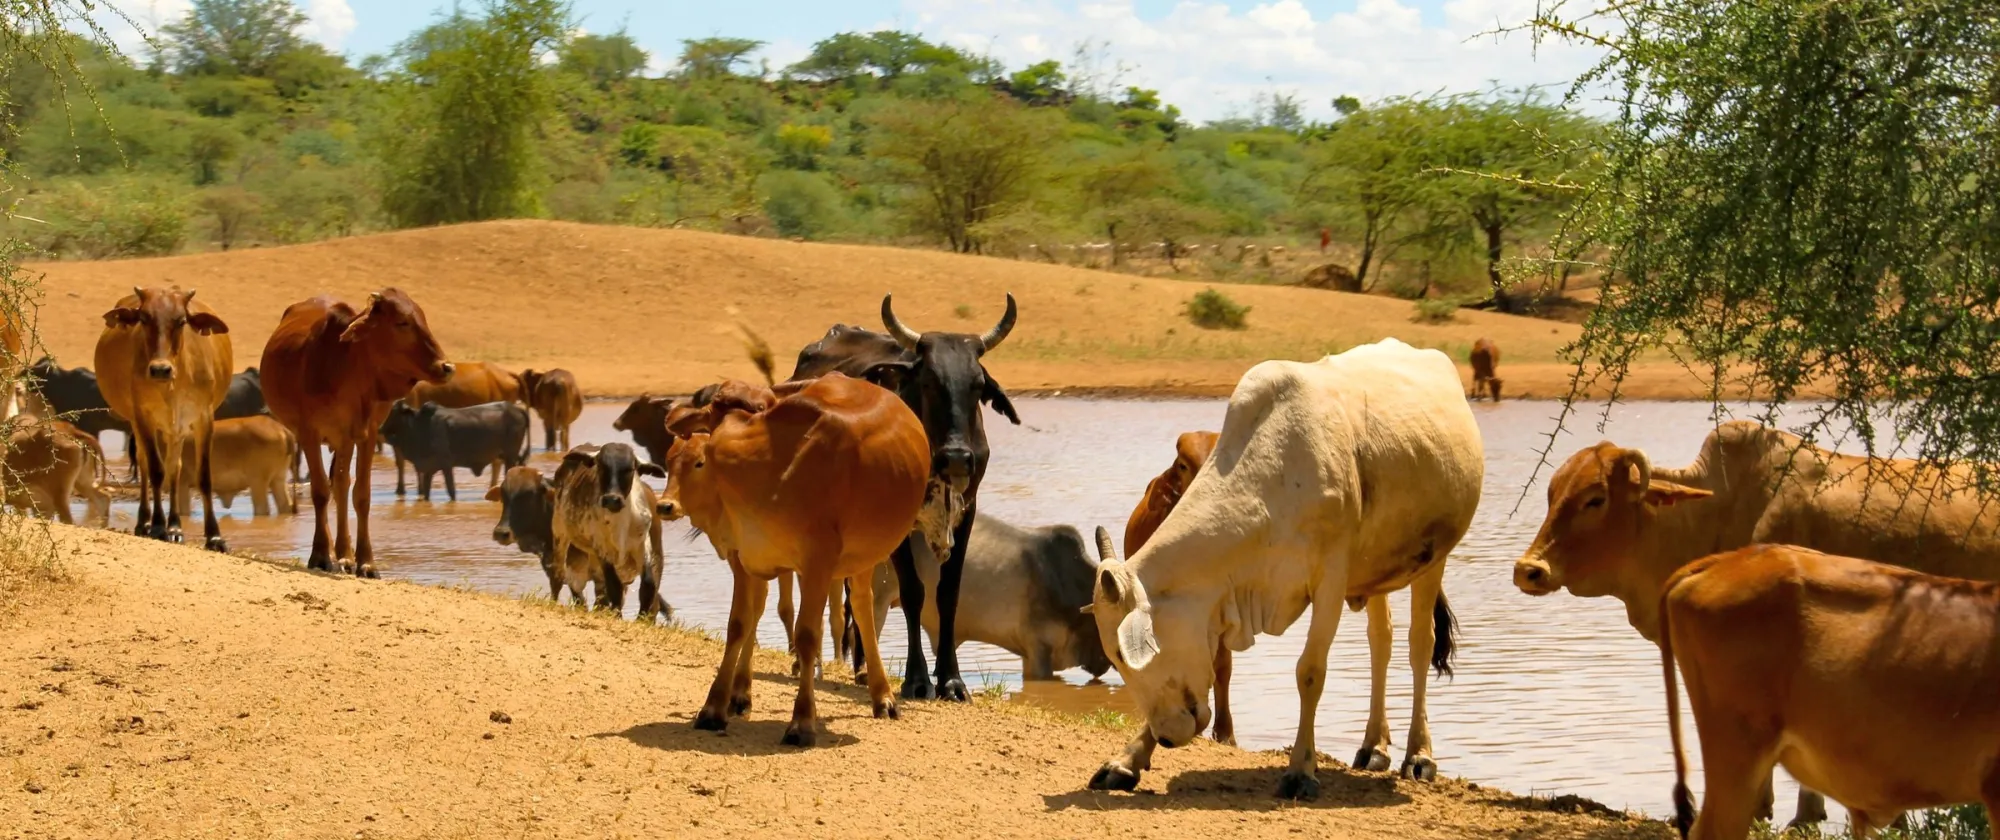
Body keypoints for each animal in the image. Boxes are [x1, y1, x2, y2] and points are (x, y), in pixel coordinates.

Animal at [95, 287, 234, 550]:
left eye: (181, 321)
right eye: (144, 318)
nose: (160, 369)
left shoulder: (203, 418)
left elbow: (203, 476)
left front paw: (214, 536)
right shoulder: (143, 417)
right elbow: (156, 471)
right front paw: (158, 526)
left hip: (175, 430)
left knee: (174, 467)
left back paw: (176, 526)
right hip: (141, 424)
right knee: (145, 464)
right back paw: (145, 523)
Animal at [261, 289, 453, 577]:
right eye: (402, 323)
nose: (446, 367)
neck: (346, 367)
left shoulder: (366, 434)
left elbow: (361, 495)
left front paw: (366, 562)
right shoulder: (309, 432)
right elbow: (320, 492)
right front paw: (321, 555)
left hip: (345, 439)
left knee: (341, 485)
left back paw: (345, 555)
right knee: (331, 487)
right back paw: (336, 554)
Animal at [378, 399, 529, 502]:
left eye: (394, 412)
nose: (380, 428)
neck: (419, 427)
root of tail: (517, 409)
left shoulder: (446, 465)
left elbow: (451, 490)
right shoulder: (428, 469)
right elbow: (426, 493)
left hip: (510, 456)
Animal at [655, 374, 927, 745]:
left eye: (759, 409)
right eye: (714, 415)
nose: (666, 505)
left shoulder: (817, 563)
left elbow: (807, 635)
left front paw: (802, 721)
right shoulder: (744, 557)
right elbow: (739, 625)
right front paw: (714, 707)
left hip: (862, 559)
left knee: (862, 609)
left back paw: (883, 696)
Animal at [779, 294, 1021, 702]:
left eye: (977, 385)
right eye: (928, 381)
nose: (957, 457)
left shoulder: (967, 514)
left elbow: (948, 593)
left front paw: (951, 680)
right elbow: (913, 593)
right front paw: (918, 679)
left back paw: (862, 669)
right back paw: (808, 664)